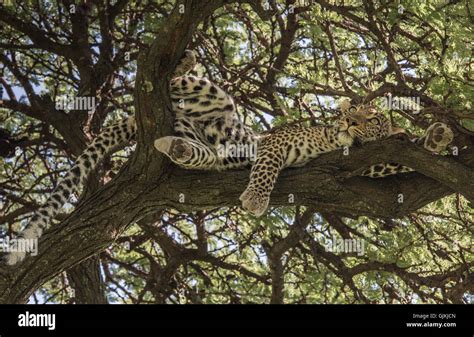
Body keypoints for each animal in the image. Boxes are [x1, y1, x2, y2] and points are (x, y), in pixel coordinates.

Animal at [3, 50, 454, 266]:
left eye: (371, 117)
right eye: (352, 111)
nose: (348, 119)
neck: (336, 142)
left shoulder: (366, 160)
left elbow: (393, 159)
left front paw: (435, 136)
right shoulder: (277, 142)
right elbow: (267, 168)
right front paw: (255, 199)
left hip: (200, 141)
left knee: (192, 153)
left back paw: (175, 147)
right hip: (208, 96)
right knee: (167, 80)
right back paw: (179, 62)